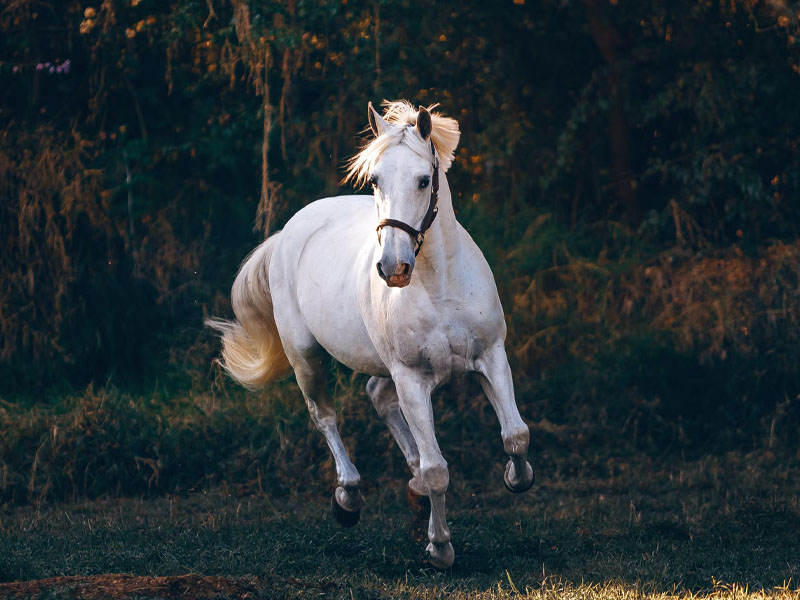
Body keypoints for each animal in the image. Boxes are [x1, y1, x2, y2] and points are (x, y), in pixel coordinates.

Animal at [208, 99, 532, 568]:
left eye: (423, 180)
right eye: (375, 179)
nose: (393, 268)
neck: (440, 286)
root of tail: (289, 231)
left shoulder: (491, 357)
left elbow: (515, 436)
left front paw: (513, 478)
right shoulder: (412, 379)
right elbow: (438, 469)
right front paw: (440, 548)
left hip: (382, 365)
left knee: (377, 396)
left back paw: (411, 489)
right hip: (306, 357)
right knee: (325, 416)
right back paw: (348, 498)